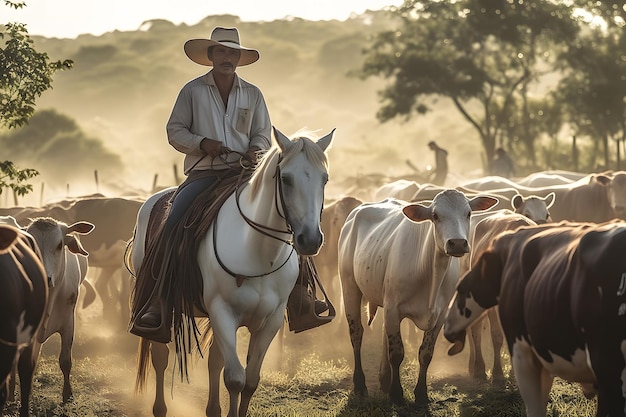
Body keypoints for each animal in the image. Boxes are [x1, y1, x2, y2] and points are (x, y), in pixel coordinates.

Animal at [125, 127, 332, 416]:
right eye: (286, 179)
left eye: (324, 179)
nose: (310, 240)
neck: (258, 252)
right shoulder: (222, 313)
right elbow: (235, 379)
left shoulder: (270, 321)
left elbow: (250, 381)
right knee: (160, 358)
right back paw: (160, 408)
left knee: (214, 360)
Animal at [338, 190, 494, 404]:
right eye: (435, 215)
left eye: (468, 213)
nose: (457, 243)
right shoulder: (394, 308)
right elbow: (397, 353)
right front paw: (397, 393)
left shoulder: (440, 315)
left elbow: (425, 354)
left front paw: (421, 394)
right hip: (350, 287)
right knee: (357, 334)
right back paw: (360, 385)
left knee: (383, 333)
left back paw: (384, 379)